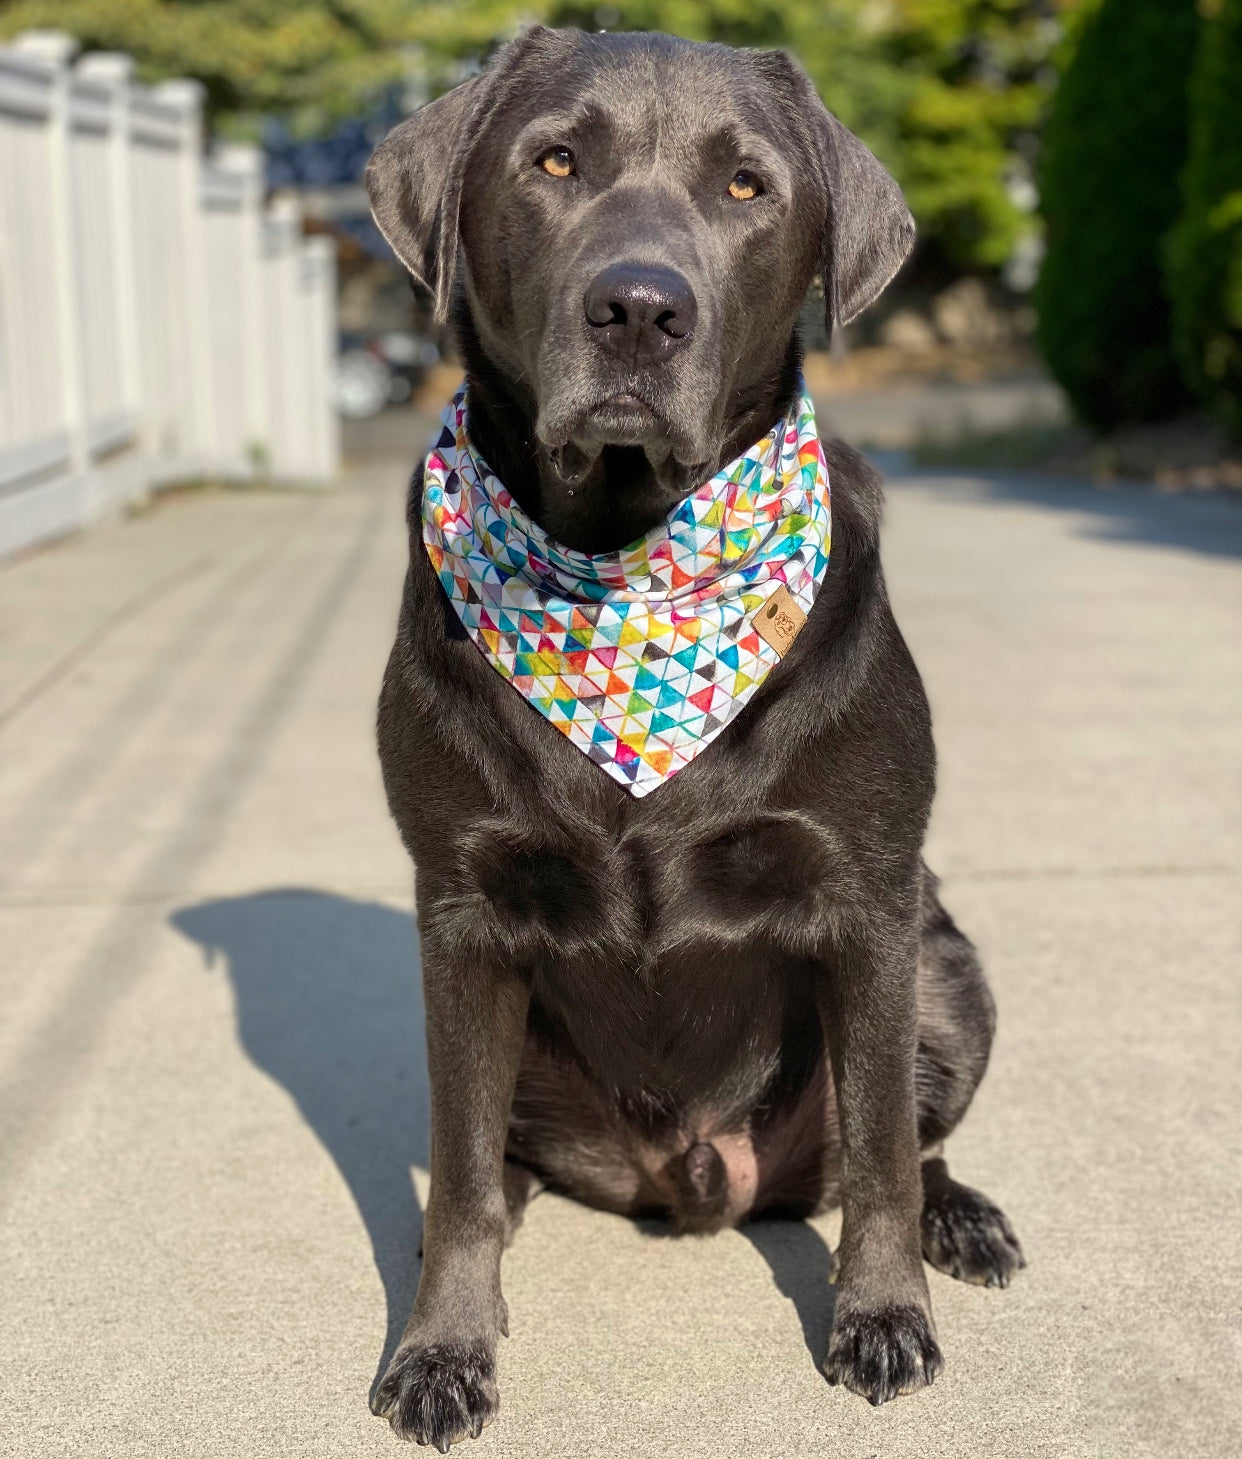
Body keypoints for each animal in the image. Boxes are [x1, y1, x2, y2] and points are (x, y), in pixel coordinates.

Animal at [364, 28, 1027, 1453]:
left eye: (746, 187)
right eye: (556, 161)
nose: (638, 308)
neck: (627, 565)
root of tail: (697, 1178)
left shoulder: (870, 901)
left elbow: (881, 1152)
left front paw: (883, 1318)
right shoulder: (460, 910)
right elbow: (458, 1179)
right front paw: (444, 1347)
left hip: (951, 972)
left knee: (909, 1141)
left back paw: (963, 1220)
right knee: (488, 1161)